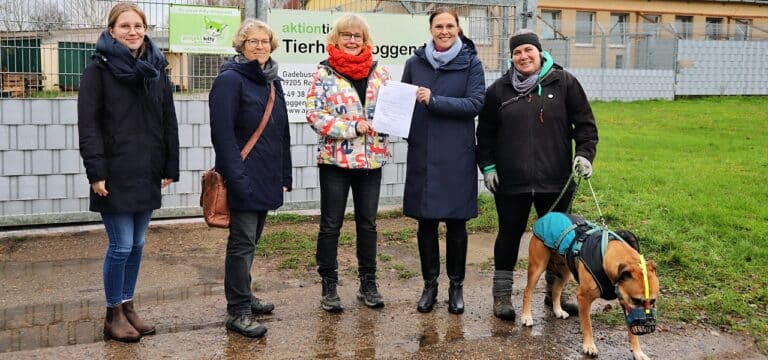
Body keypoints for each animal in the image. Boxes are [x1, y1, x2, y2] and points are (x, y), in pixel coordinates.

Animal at [520, 214, 660, 360]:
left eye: (653, 301)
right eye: (636, 300)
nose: (647, 323)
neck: (605, 254)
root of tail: (548, 215)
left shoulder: (625, 302)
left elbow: (632, 331)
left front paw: (638, 352)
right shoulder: (583, 298)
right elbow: (587, 325)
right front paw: (589, 346)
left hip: (564, 273)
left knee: (556, 290)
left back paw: (558, 310)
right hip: (538, 267)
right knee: (527, 291)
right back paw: (526, 316)